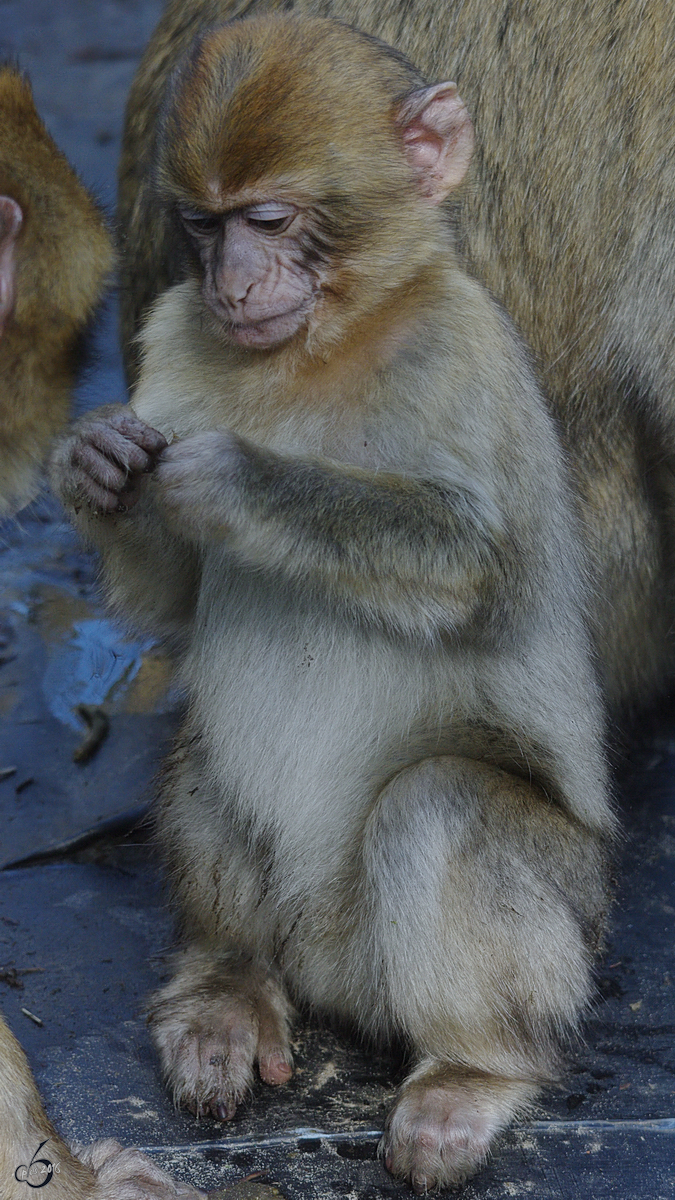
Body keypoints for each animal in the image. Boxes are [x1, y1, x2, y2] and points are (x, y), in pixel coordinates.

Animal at [52, 16, 614, 1190]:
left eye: (270, 220)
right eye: (203, 225)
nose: (232, 281)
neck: (327, 345)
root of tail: (336, 980)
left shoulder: (465, 353)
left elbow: (476, 567)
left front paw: (234, 477)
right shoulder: (171, 332)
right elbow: (173, 599)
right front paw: (100, 462)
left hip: (560, 930)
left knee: (439, 801)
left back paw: (472, 1071)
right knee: (209, 755)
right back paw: (229, 988)